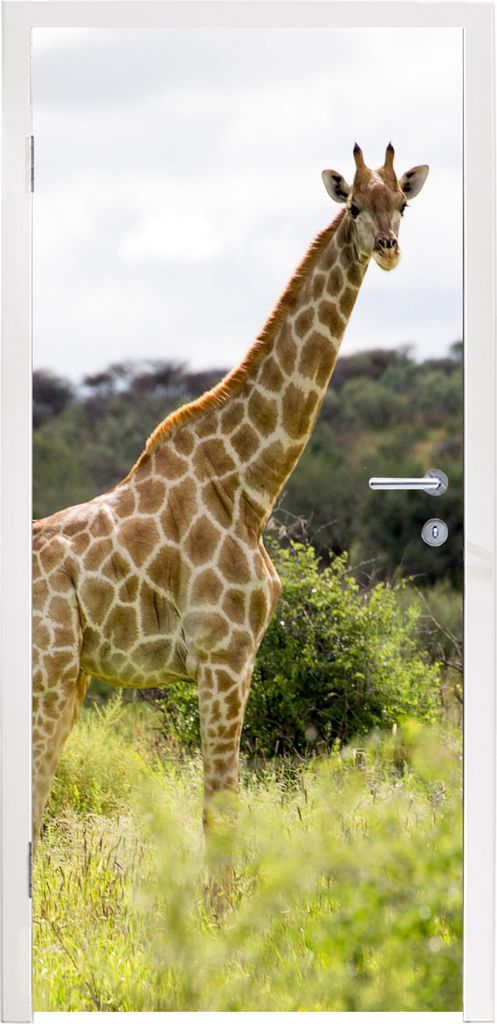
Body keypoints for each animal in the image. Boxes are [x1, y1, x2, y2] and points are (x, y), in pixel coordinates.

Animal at [32, 144, 428, 843]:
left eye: (402, 205)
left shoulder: (229, 660)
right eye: (354, 205)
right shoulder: (223, 655)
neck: (247, 484)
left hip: (69, 678)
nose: (387, 248)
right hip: (47, 674)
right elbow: (221, 813)